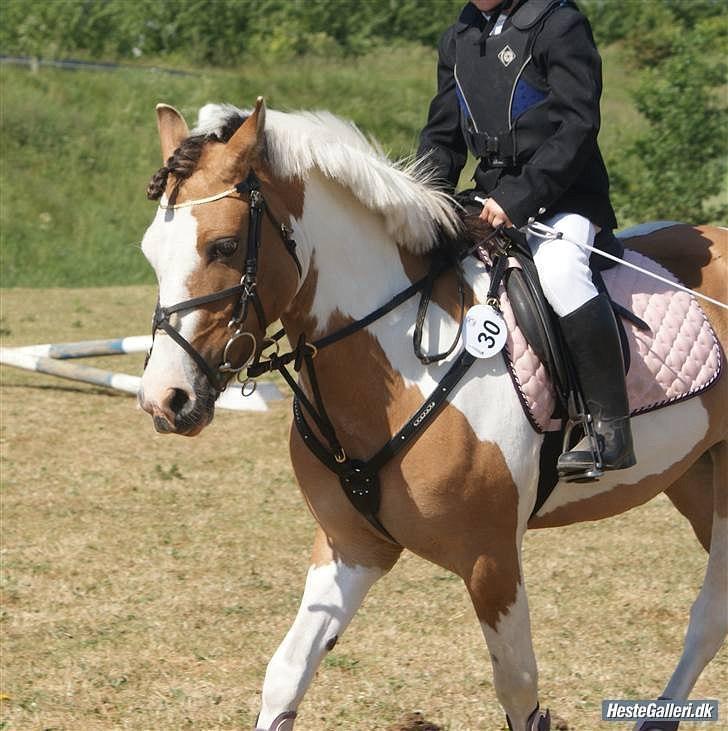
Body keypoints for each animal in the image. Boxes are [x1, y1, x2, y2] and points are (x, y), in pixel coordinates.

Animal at [139, 98, 724, 731]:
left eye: (222, 247)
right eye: (150, 252)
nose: (164, 399)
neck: (395, 366)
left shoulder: (492, 561)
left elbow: (518, 688)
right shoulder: (351, 548)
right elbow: (287, 674)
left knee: (709, 614)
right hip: (697, 478)